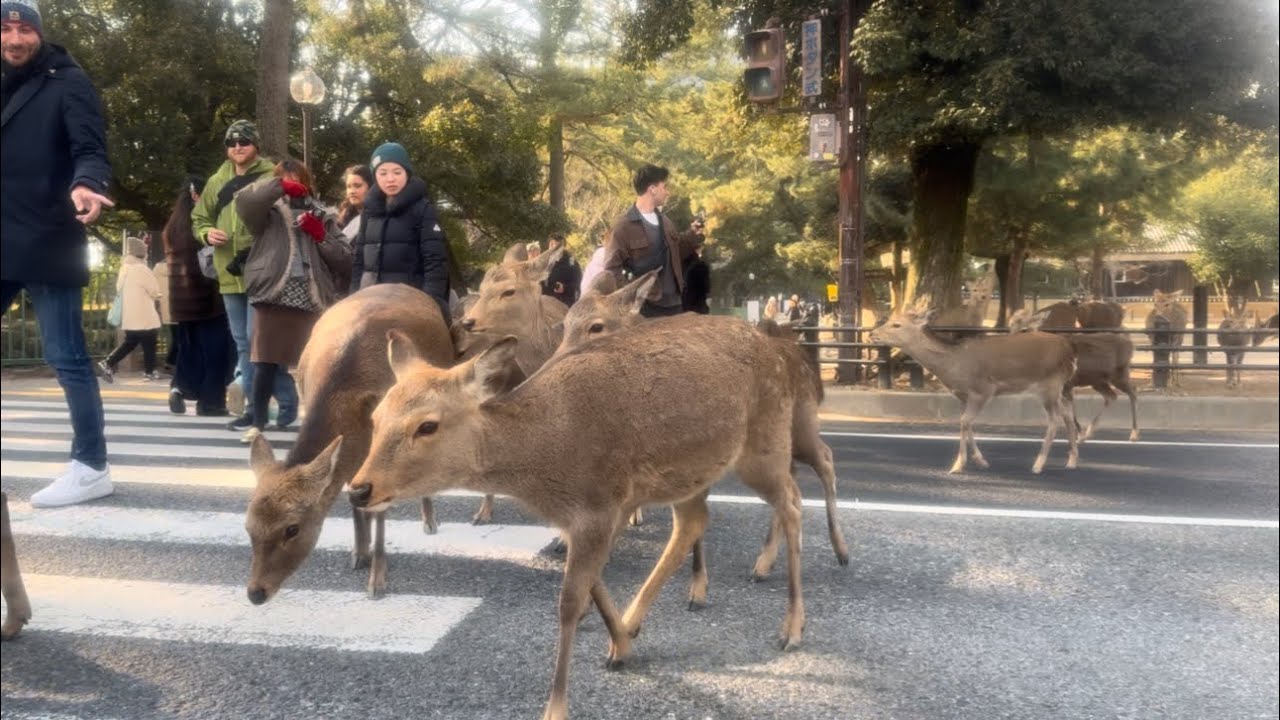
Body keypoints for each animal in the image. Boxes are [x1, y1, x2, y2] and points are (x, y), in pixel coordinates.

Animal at [347, 316, 809, 720]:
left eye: (427, 425)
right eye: (375, 418)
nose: (359, 488)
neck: (544, 467)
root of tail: (779, 350)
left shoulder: (598, 506)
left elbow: (569, 602)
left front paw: (555, 709)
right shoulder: (588, 515)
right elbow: (593, 582)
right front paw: (621, 646)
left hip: (765, 440)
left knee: (791, 501)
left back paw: (790, 627)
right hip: (689, 473)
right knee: (695, 520)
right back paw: (637, 621)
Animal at [559, 270, 848, 582]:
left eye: (596, 326)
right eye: (565, 323)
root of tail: (808, 365)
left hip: (801, 423)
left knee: (824, 460)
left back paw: (838, 552)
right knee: (792, 477)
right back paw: (765, 562)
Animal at [870, 303, 1080, 474]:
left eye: (896, 324)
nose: (872, 334)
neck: (953, 367)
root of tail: (1070, 351)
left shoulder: (983, 389)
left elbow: (965, 422)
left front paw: (958, 465)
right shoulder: (962, 395)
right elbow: (965, 422)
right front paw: (980, 461)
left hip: (1050, 384)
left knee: (1054, 420)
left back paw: (1038, 465)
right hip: (1061, 386)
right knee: (1068, 416)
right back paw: (1071, 461)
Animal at [1010, 308, 1139, 442]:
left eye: (1024, 329)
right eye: (1010, 326)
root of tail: (1131, 344)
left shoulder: (1067, 384)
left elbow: (1070, 410)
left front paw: (1078, 434)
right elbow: (1067, 411)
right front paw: (1078, 434)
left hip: (1119, 373)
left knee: (1133, 392)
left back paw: (1134, 433)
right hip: (1098, 381)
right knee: (1111, 396)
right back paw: (1089, 432)